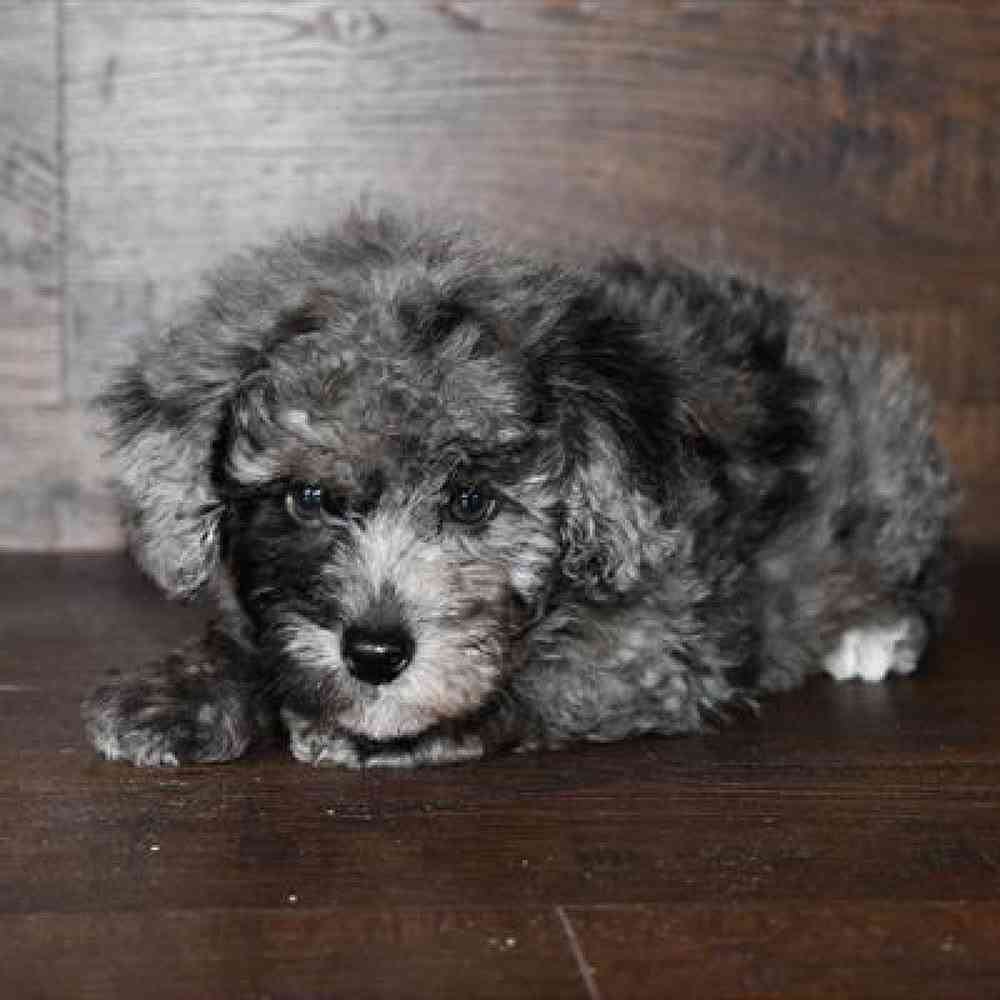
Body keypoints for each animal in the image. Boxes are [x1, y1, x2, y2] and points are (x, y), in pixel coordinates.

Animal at [83, 210, 959, 768]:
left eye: (473, 501)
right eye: (309, 500)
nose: (375, 656)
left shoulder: (653, 649)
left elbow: (534, 676)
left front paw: (376, 730)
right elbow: (250, 640)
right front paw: (176, 694)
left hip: (887, 480)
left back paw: (873, 628)